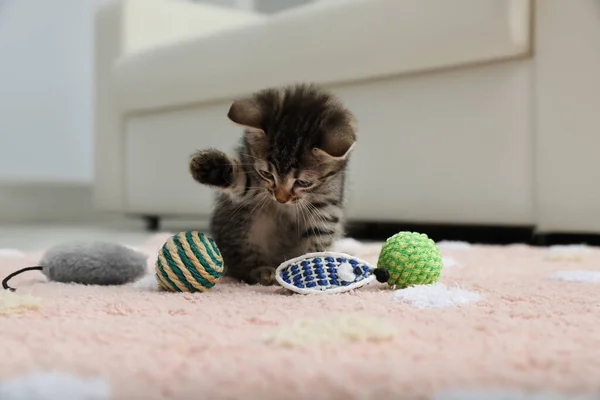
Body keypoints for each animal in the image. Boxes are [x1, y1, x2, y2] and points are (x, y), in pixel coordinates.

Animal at [190, 83, 354, 284]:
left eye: (303, 182)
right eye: (267, 174)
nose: (281, 199)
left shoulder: (327, 204)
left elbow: (318, 235)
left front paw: (312, 265)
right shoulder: (254, 180)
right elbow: (243, 181)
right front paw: (209, 168)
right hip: (243, 224)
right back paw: (262, 271)